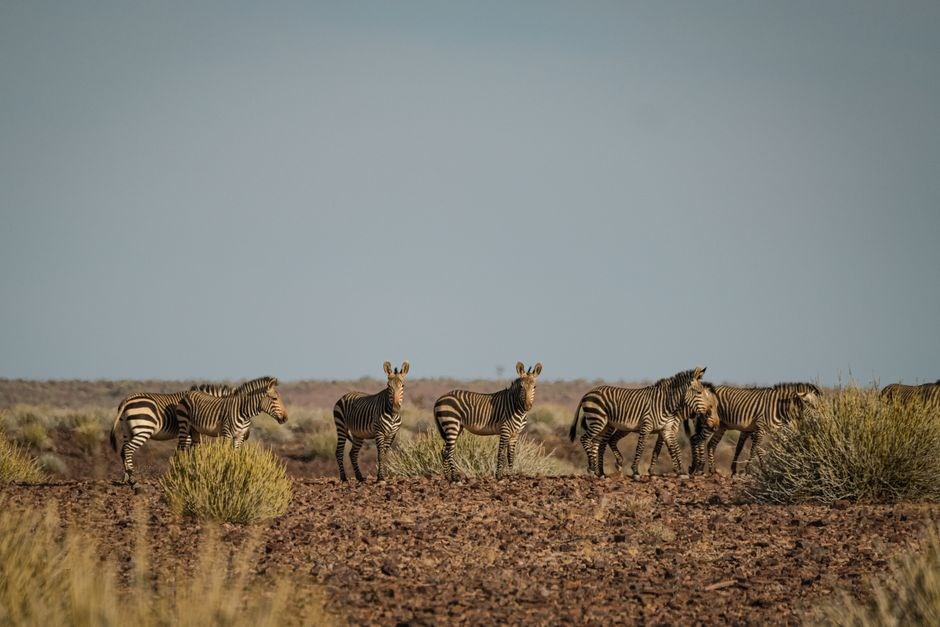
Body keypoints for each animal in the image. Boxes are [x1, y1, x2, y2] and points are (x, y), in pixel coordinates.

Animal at [109, 376, 277, 484]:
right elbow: (185, 452)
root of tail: (127, 400)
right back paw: (132, 478)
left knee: (124, 450)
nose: (247, 435)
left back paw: (126, 478)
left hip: (127, 430)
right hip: (143, 429)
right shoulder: (189, 432)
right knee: (128, 449)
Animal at [568, 367, 713, 479]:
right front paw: (636, 471)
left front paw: (681, 471)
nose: (709, 412)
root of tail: (588, 393)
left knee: (597, 443)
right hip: (598, 420)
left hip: (605, 425)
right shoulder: (646, 426)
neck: (666, 404)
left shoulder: (666, 430)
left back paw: (600, 473)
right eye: (699, 392)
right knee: (585, 439)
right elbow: (641, 448)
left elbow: (674, 448)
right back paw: (592, 468)